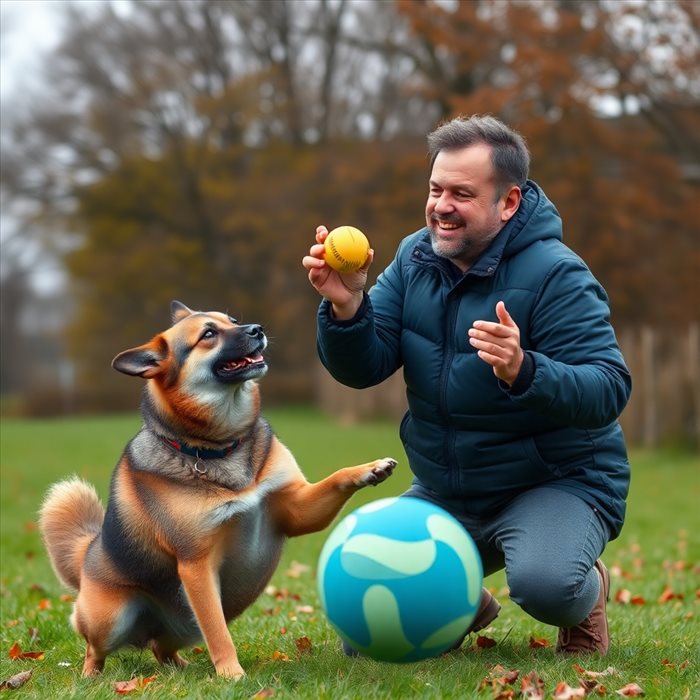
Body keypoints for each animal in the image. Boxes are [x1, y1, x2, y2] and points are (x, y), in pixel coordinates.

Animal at [41, 300, 396, 680]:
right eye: (208, 334)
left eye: (233, 320)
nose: (257, 329)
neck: (220, 447)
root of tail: (89, 553)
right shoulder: (196, 565)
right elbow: (217, 632)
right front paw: (232, 675)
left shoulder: (296, 509)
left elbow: (335, 479)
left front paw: (370, 469)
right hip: (111, 618)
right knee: (95, 649)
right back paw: (91, 677)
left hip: (184, 626)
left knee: (160, 647)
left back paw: (179, 667)